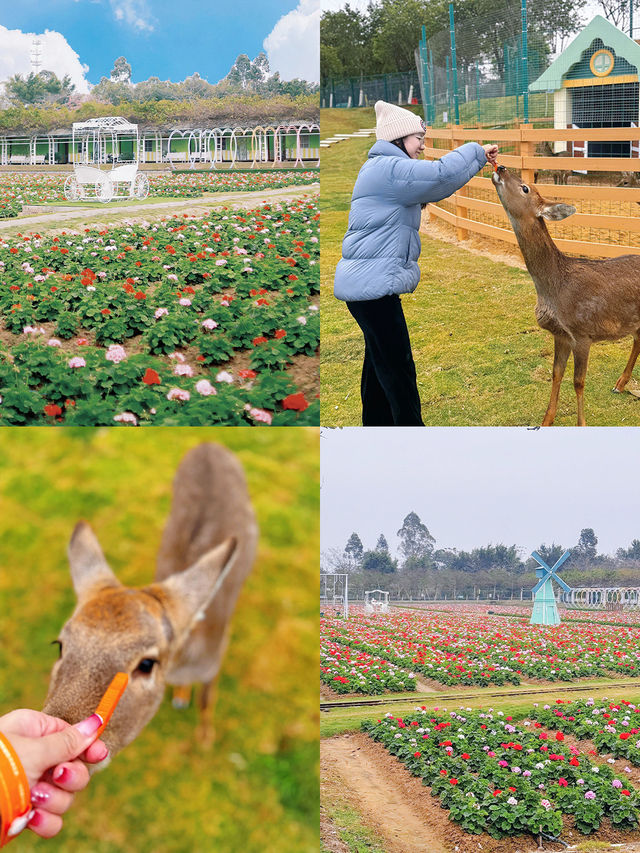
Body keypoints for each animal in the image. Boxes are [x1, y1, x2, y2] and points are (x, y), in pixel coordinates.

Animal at [42, 442, 258, 756]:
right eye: (59, 645)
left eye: (146, 664)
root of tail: (209, 443)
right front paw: (181, 699)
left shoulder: (214, 660)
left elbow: (207, 699)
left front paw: (206, 738)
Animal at [496, 164, 640, 426]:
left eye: (525, 188)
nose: (500, 167)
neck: (554, 291)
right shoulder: (560, 334)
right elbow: (556, 374)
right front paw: (546, 420)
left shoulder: (582, 332)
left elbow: (578, 382)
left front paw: (581, 423)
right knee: (638, 340)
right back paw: (620, 384)